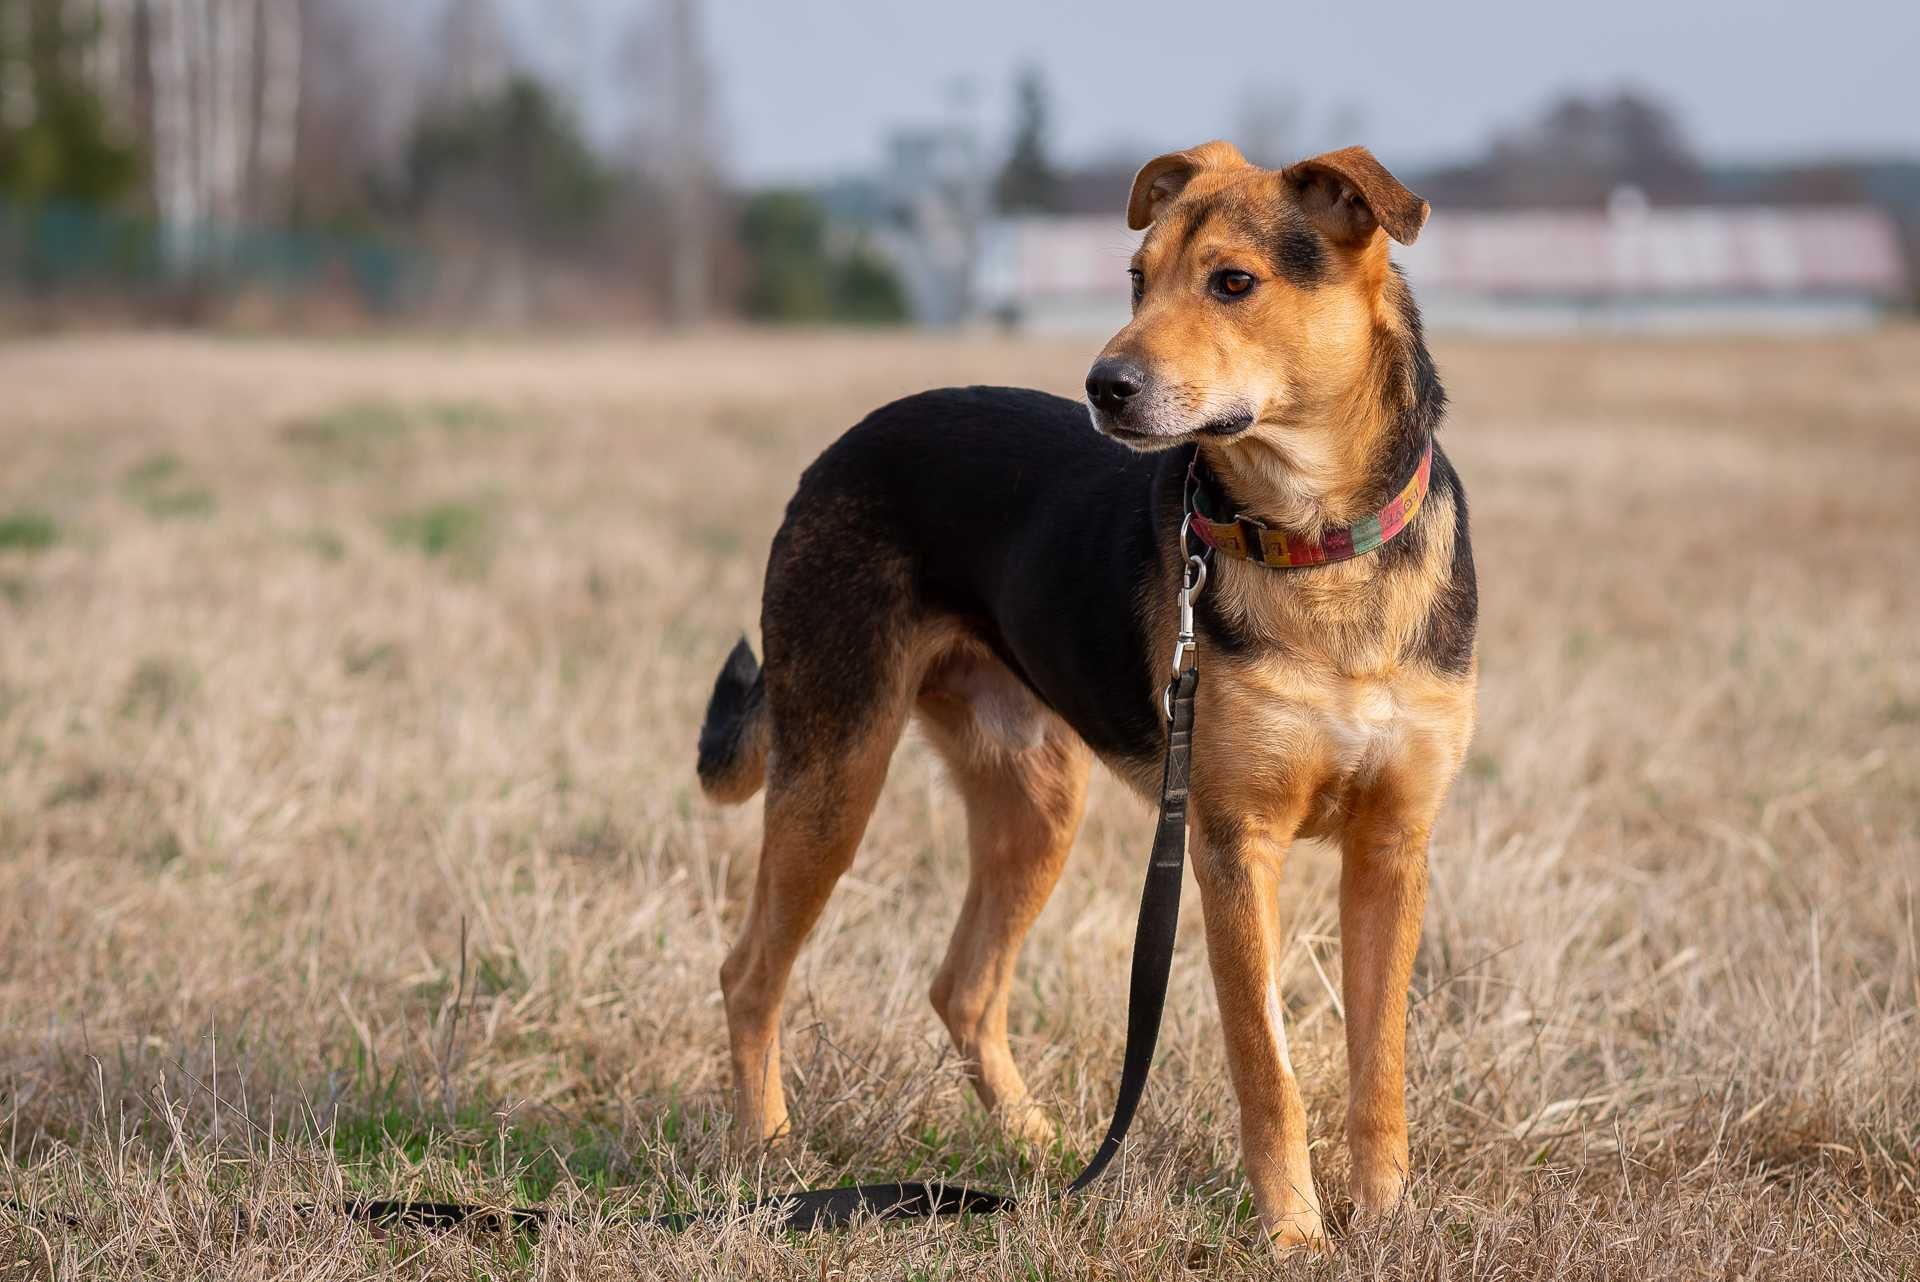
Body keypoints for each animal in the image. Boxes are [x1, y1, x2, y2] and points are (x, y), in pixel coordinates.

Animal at [698, 142, 1474, 1251]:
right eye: (1137, 280)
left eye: (1232, 283)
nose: (1105, 387)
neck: (1316, 542)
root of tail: (841, 448)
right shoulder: (1234, 844)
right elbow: (1267, 1065)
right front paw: (1294, 1232)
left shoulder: (1393, 844)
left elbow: (1381, 1063)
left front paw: (1386, 1216)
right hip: (835, 771)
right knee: (751, 971)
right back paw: (767, 1155)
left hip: (1034, 802)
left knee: (963, 985)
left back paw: (1035, 1152)